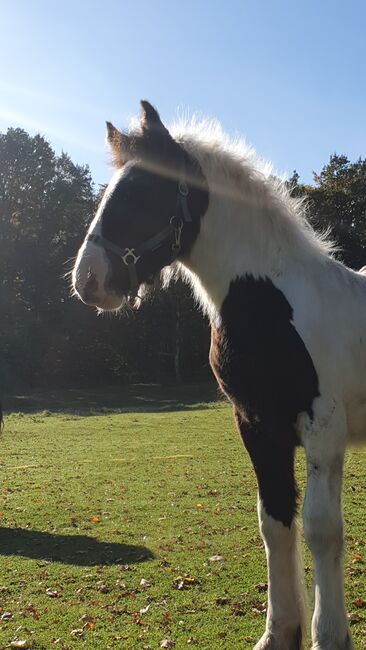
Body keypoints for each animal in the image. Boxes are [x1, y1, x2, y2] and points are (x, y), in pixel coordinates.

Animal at [71, 101, 364, 648]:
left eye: (144, 190)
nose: (88, 279)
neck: (271, 302)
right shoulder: (256, 426)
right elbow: (275, 523)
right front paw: (279, 633)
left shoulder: (323, 427)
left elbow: (320, 529)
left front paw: (330, 635)